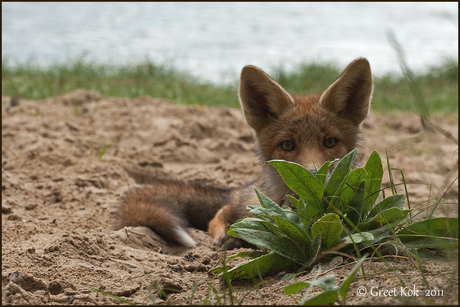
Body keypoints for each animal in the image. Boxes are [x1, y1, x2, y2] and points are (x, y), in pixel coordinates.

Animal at [115, 57, 374, 250]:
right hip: (250, 207)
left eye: (330, 142)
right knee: (221, 214)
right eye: (287, 145)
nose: (312, 176)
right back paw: (228, 236)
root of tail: (248, 186)